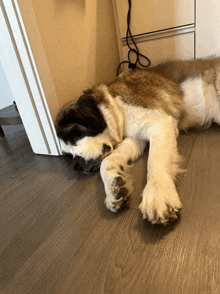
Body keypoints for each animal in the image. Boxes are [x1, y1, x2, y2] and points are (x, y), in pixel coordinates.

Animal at [54, 56, 220, 224]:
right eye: (68, 155)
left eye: (75, 135)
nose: (76, 166)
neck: (116, 105)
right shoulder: (135, 138)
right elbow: (107, 162)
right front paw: (113, 188)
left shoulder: (160, 123)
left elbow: (155, 160)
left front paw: (157, 195)